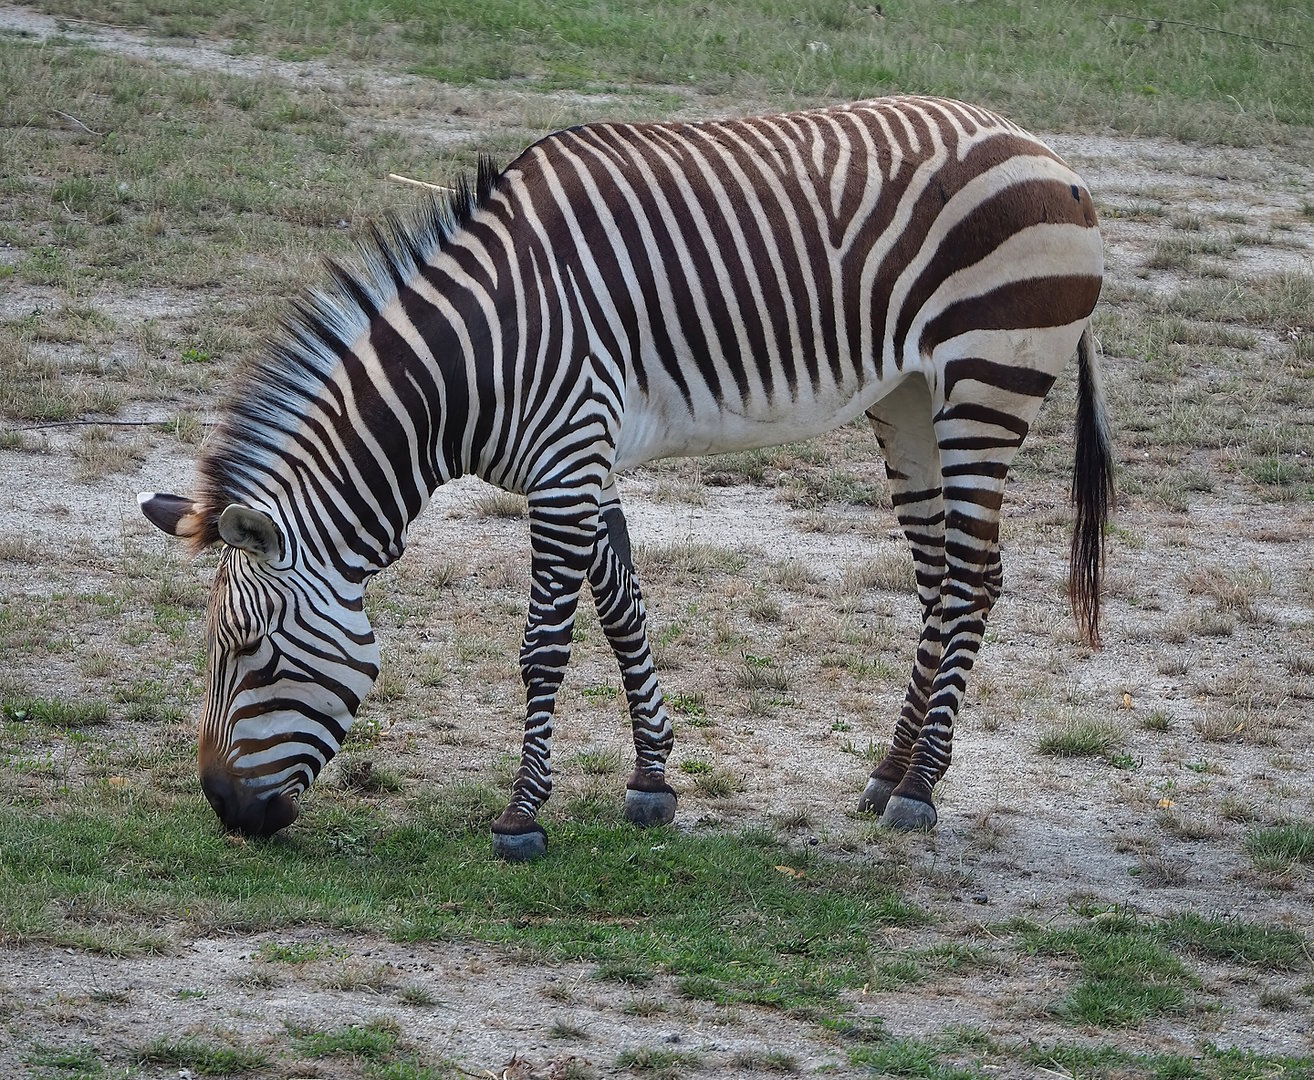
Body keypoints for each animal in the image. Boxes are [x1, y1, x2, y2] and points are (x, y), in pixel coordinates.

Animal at [139, 96, 1111, 860]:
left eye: (251, 654)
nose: (223, 810)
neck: (476, 356)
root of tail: (1041, 148)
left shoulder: (566, 462)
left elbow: (545, 647)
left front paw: (522, 817)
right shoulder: (583, 457)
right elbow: (622, 605)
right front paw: (651, 779)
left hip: (986, 381)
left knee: (976, 576)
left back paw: (921, 790)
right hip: (909, 399)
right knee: (940, 576)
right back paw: (889, 770)